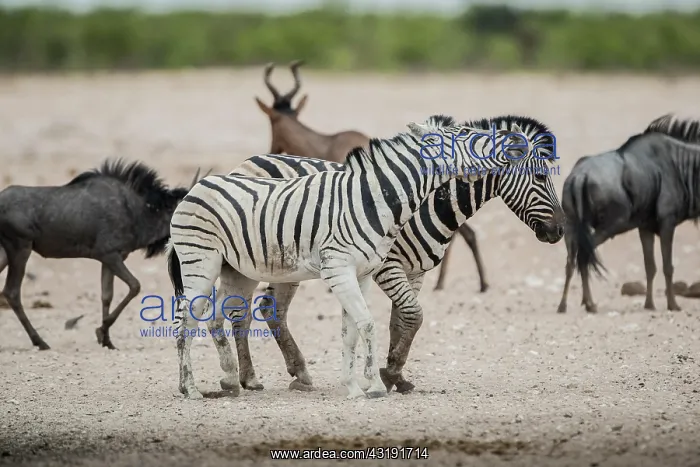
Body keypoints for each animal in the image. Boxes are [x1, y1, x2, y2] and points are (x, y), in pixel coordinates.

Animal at [166, 114, 538, 400]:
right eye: (467, 137)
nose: (515, 142)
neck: (374, 199)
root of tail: (199, 184)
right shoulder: (339, 269)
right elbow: (368, 324)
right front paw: (375, 386)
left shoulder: (362, 273)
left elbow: (352, 331)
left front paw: (355, 385)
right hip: (201, 263)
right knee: (186, 323)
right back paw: (191, 390)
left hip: (236, 270)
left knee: (218, 316)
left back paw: (230, 382)